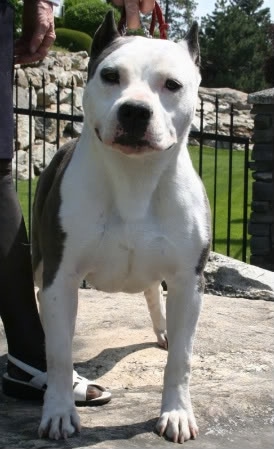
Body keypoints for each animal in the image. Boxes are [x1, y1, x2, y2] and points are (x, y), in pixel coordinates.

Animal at [32, 9, 212, 440]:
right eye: (110, 75)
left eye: (172, 84)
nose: (134, 110)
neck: (135, 177)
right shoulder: (61, 278)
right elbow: (60, 354)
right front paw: (59, 410)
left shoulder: (188, 280)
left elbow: (181, 359)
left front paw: (177, 412)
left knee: (152, 293)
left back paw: (162, 330)